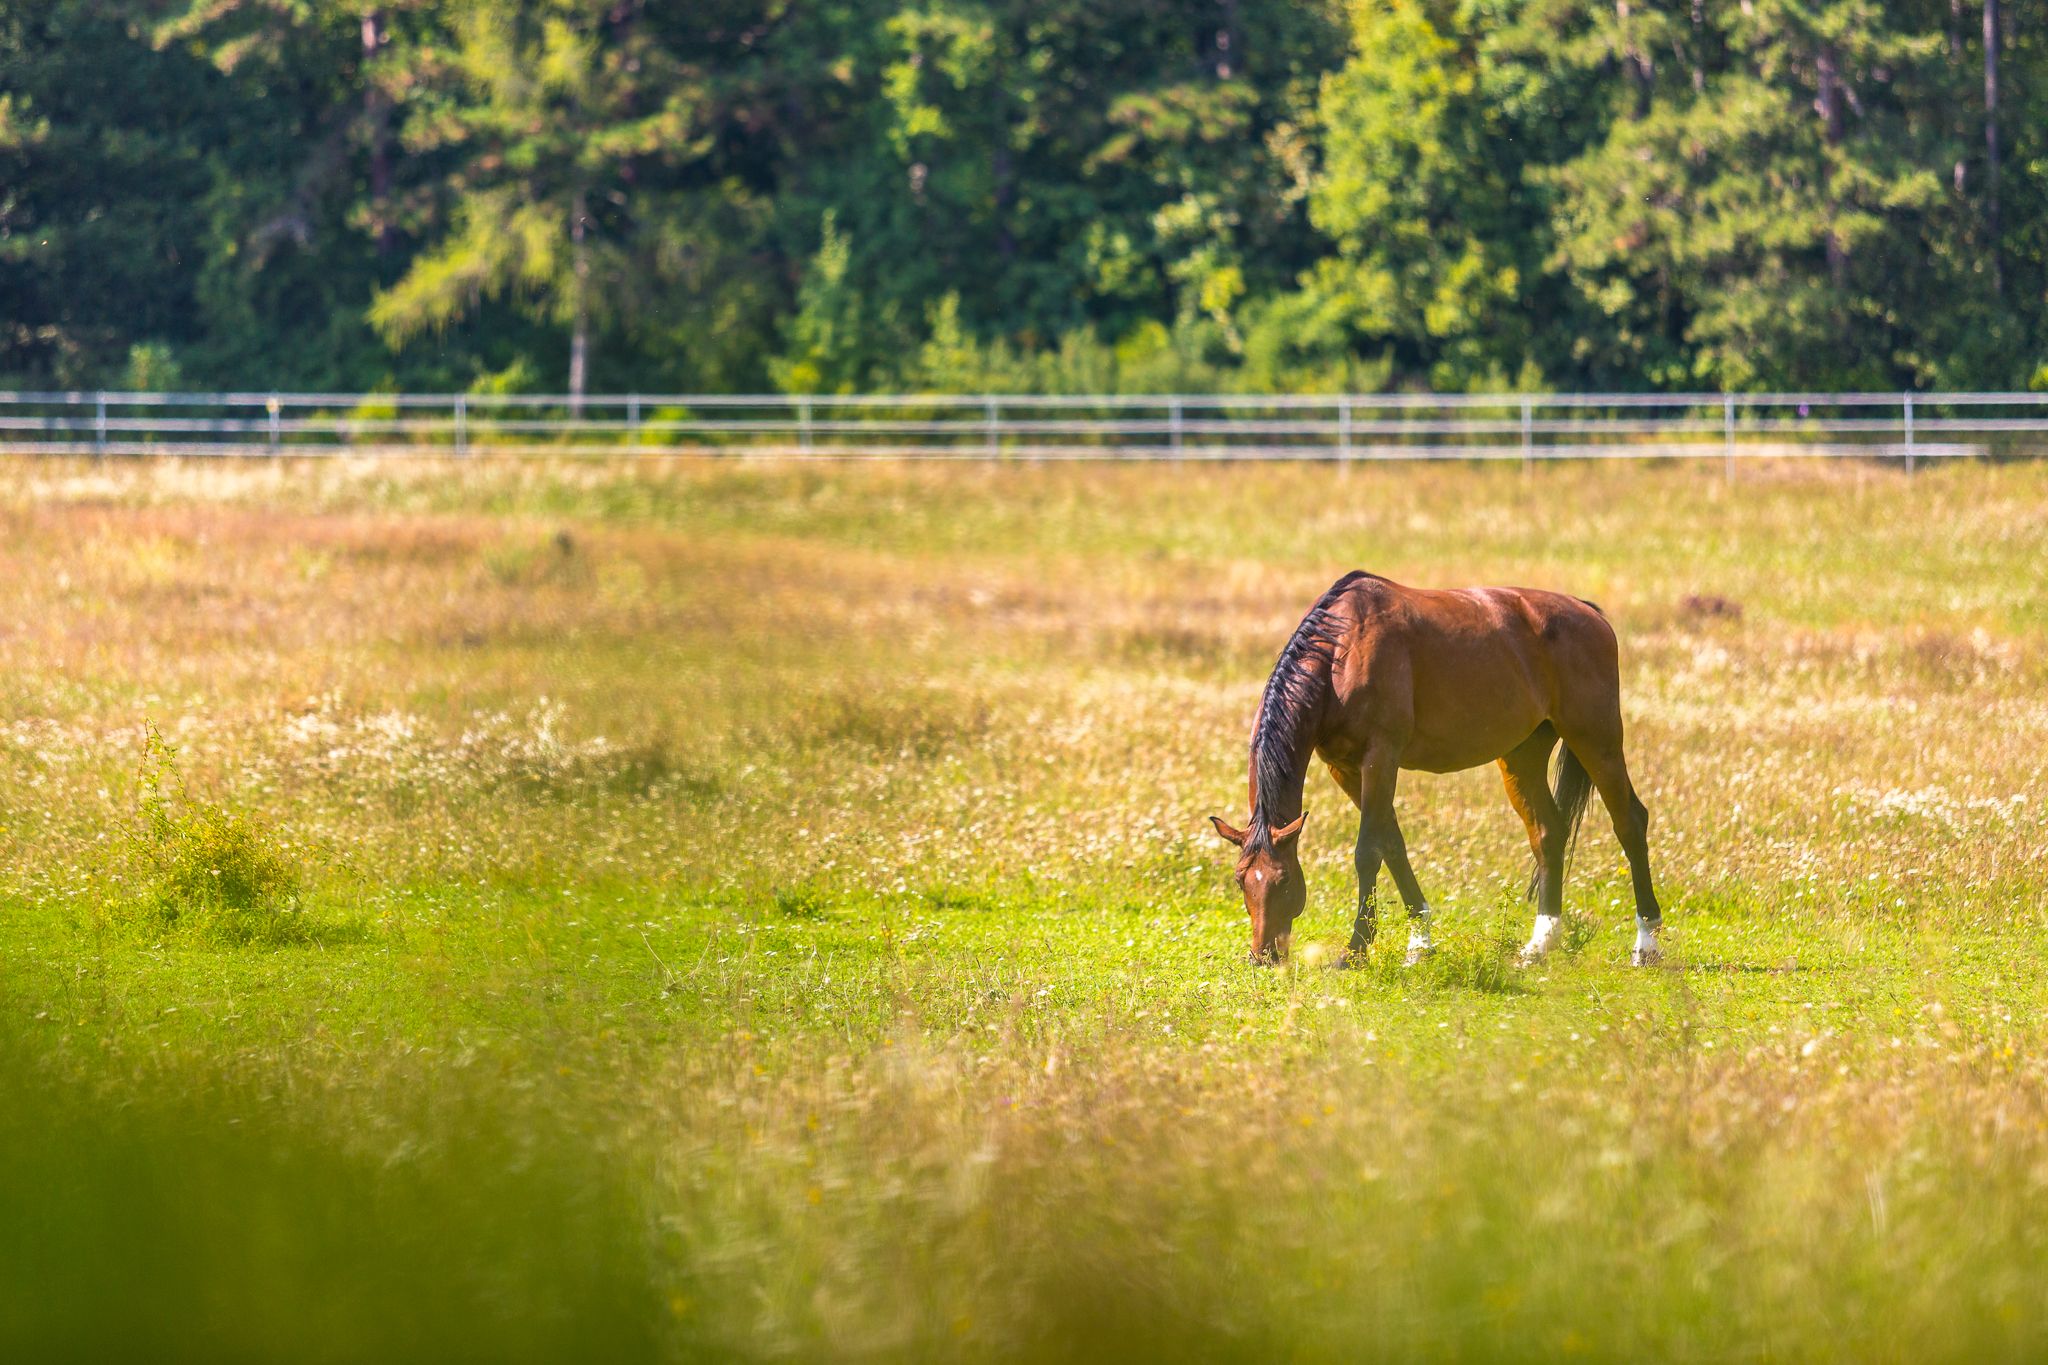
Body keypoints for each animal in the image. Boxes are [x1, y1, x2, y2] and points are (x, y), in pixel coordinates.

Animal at [1209, 571, 1662, 968]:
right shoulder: (1345, 769)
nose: (1263, 956)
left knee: (1629, 822)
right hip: (1522, 756)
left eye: (1285, 880)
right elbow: (1393, 846)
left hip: (1597, 740)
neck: (1342, 653)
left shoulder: (1380, 757)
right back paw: (1538, 946)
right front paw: (1419, 943)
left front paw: (1355, 950)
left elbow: (1367, 851)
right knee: (1548, 832)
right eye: (1240, 880)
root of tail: (1590, 614)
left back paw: (1646, 944)